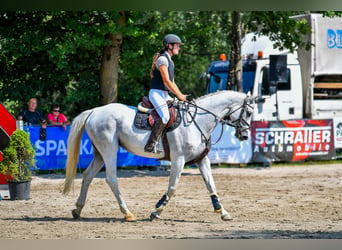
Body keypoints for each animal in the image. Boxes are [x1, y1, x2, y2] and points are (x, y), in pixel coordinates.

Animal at [62, 91, 258, 222]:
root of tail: (94, 111)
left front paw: (222, 212)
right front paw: (156, 211)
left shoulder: (201, 159)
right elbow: (172, 187)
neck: (198, 121)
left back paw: (78, 210)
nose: (244, 135)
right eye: (248, 113)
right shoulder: (179, 160)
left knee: (88, 175)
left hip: (99, 153)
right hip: (109, 149)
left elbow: (211, 185)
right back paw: (127, 213)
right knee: (111, 178)